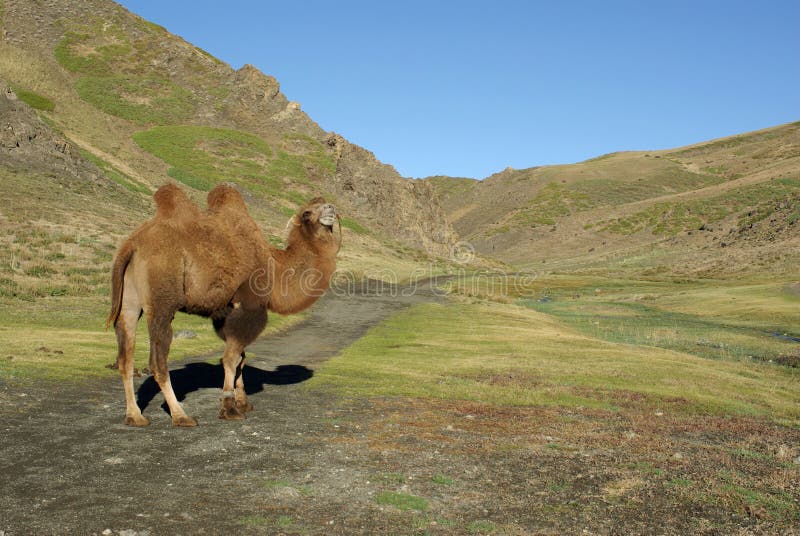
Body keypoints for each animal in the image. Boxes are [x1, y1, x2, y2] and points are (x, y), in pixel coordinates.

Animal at [107, 184, 340, 428]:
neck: (275, 267)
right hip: (162, 301)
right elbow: (231, 359)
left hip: (129, 303)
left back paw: (135, 416)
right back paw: (181, 415)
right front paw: (229, 408)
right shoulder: (250, 307)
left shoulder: (226, 311)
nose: (331, 208)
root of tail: (132, 244)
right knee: (158, 360)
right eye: (306, 213)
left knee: (125, 356)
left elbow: (241, 358)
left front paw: (243, 402)